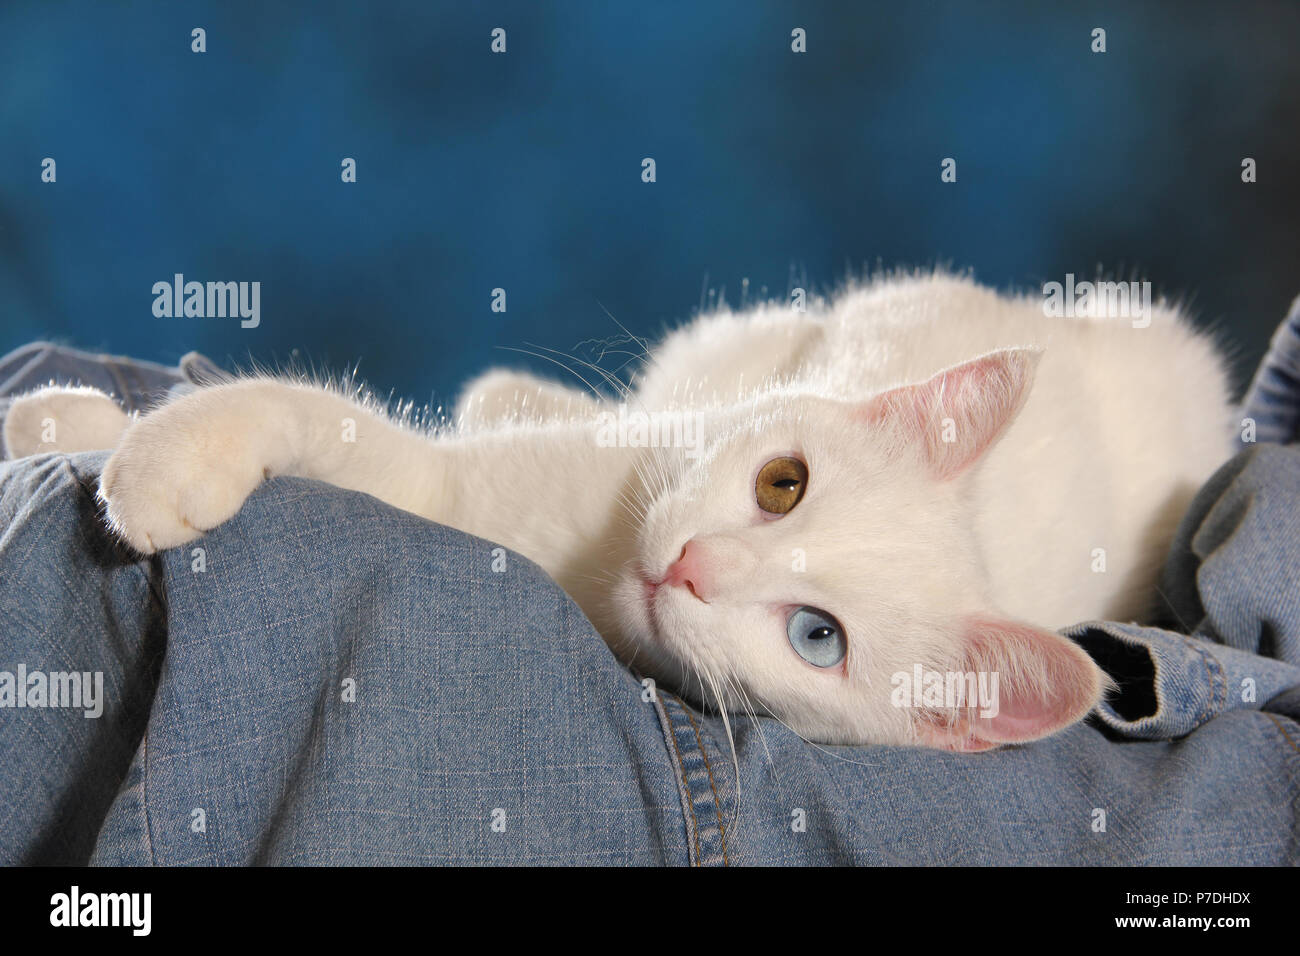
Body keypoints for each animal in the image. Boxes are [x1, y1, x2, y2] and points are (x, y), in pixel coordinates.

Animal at [0, 273, 1232, 749]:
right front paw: (74, 423)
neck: (589, 574)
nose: (690, 566)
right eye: (782, 482)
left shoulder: (442, 494)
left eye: (816, 637)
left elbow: (338, 432)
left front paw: (155, 459)